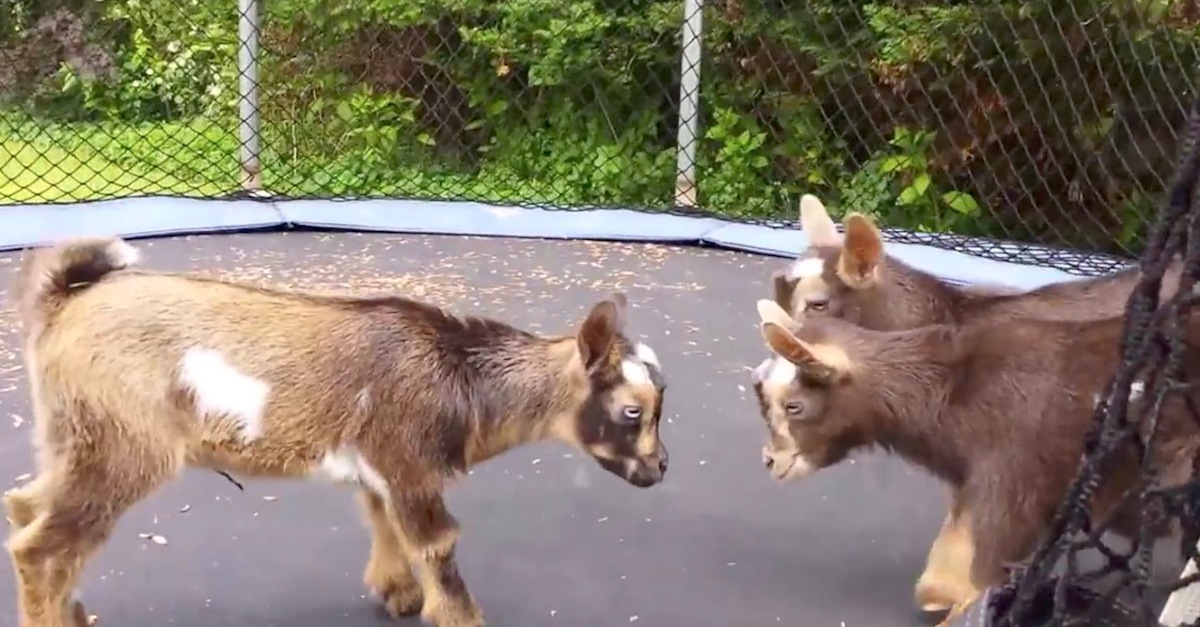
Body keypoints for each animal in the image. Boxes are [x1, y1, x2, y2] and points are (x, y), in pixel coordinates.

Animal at [2, 235, 676, 624]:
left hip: (71, 435)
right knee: (40, 546)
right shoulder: (409, 460)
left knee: (27, 506)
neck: (460, 377)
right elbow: (439, 544)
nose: (661, 467)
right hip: (123, 445)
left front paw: (398, 594)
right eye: (633, 410)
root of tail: (65, 303)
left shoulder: (383, 466)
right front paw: (456, 615)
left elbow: (383, 520)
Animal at [748, 297, 1200, 624]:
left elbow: (976, 576)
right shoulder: (976, 483)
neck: (952, 392)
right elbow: (942, 577)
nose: (770, 461)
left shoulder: (1014, 476)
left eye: (793, 405)